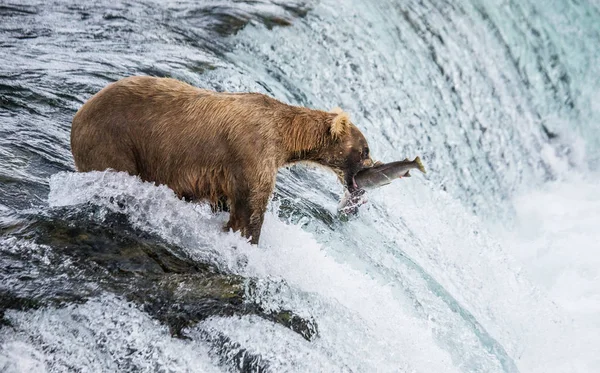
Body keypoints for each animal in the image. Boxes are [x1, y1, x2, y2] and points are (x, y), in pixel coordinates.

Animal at [71, 76, 376, 244]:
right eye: (366, 150)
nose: (373, 166)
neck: (284, 138)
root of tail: (78, 115)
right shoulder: (252, 153)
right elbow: (249, 210)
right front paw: (247, 239)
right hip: (114, 142)